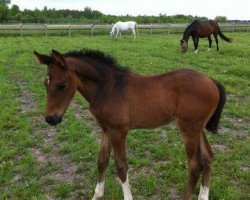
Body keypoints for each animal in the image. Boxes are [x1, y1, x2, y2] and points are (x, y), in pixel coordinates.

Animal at [33, 48, 227, 200]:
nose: (51, 119)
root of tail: (211, 81)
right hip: (197, 129)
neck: (108, 88)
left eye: (63, 85)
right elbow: (102, 161)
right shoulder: (105, 129)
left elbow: (121, 166)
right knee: (208, 157)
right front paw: (96, 195)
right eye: (45, 83)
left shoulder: (118, 131)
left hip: (189, 129)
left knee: (195, 164)